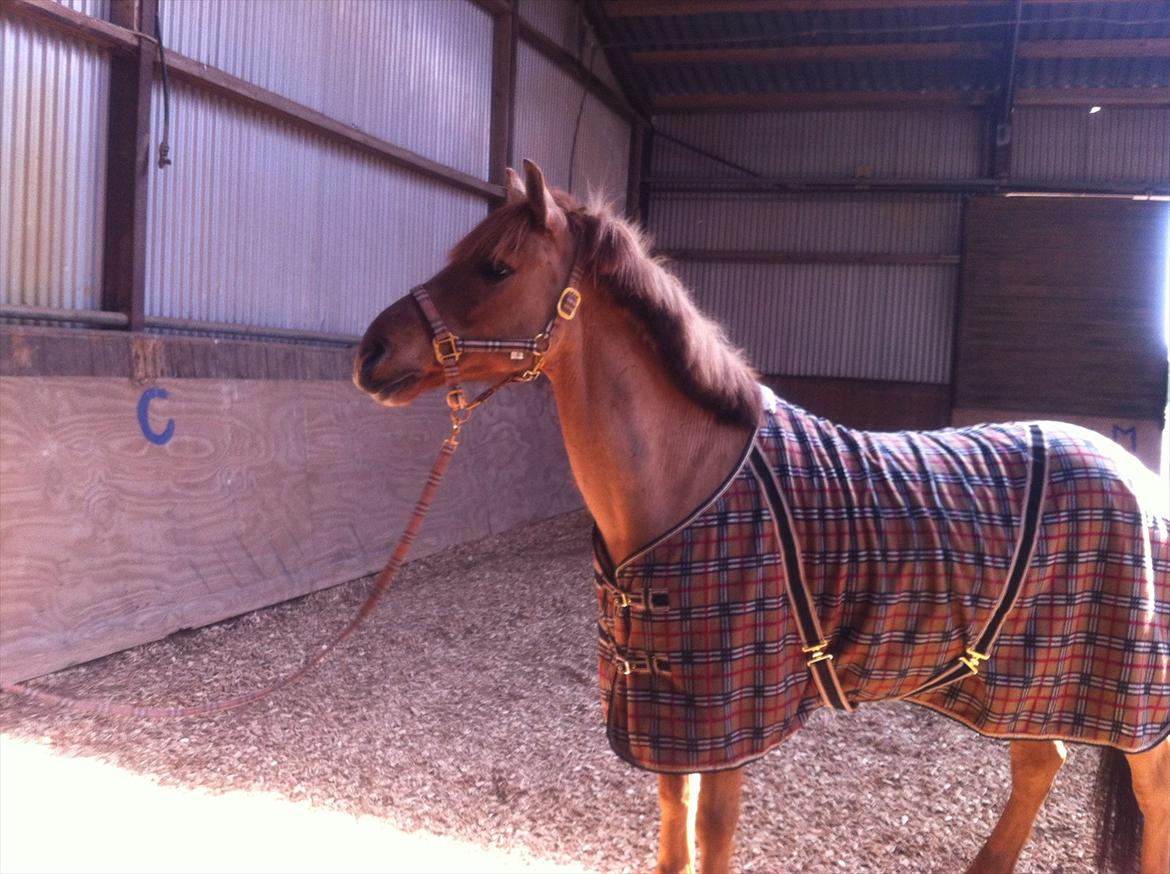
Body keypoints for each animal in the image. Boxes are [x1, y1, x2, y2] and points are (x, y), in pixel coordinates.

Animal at [354, 159, 1170, 874]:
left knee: (1149, 789)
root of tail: (1136, 474)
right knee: (1042, 760)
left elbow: (711, 834)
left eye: (496, 267)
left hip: (1128, 692)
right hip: (1026, 682)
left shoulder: (727, 718)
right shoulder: (668, 710)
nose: (371, 352)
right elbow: (673, 827)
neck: (692, 480)